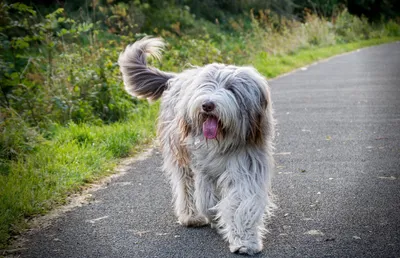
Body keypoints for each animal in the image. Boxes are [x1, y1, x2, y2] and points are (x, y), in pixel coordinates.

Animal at [118, 37, 276, 255]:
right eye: (207, 85)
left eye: (231, 88)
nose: (208, 105)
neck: (222, 142)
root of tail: (178, 77)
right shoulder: (202, 167)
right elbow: (206, 199)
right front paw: (214, 217)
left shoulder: (247, 163)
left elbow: (243, 202)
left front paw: (245, 242)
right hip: (180, 154)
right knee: (186, 186)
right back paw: (192, 216)